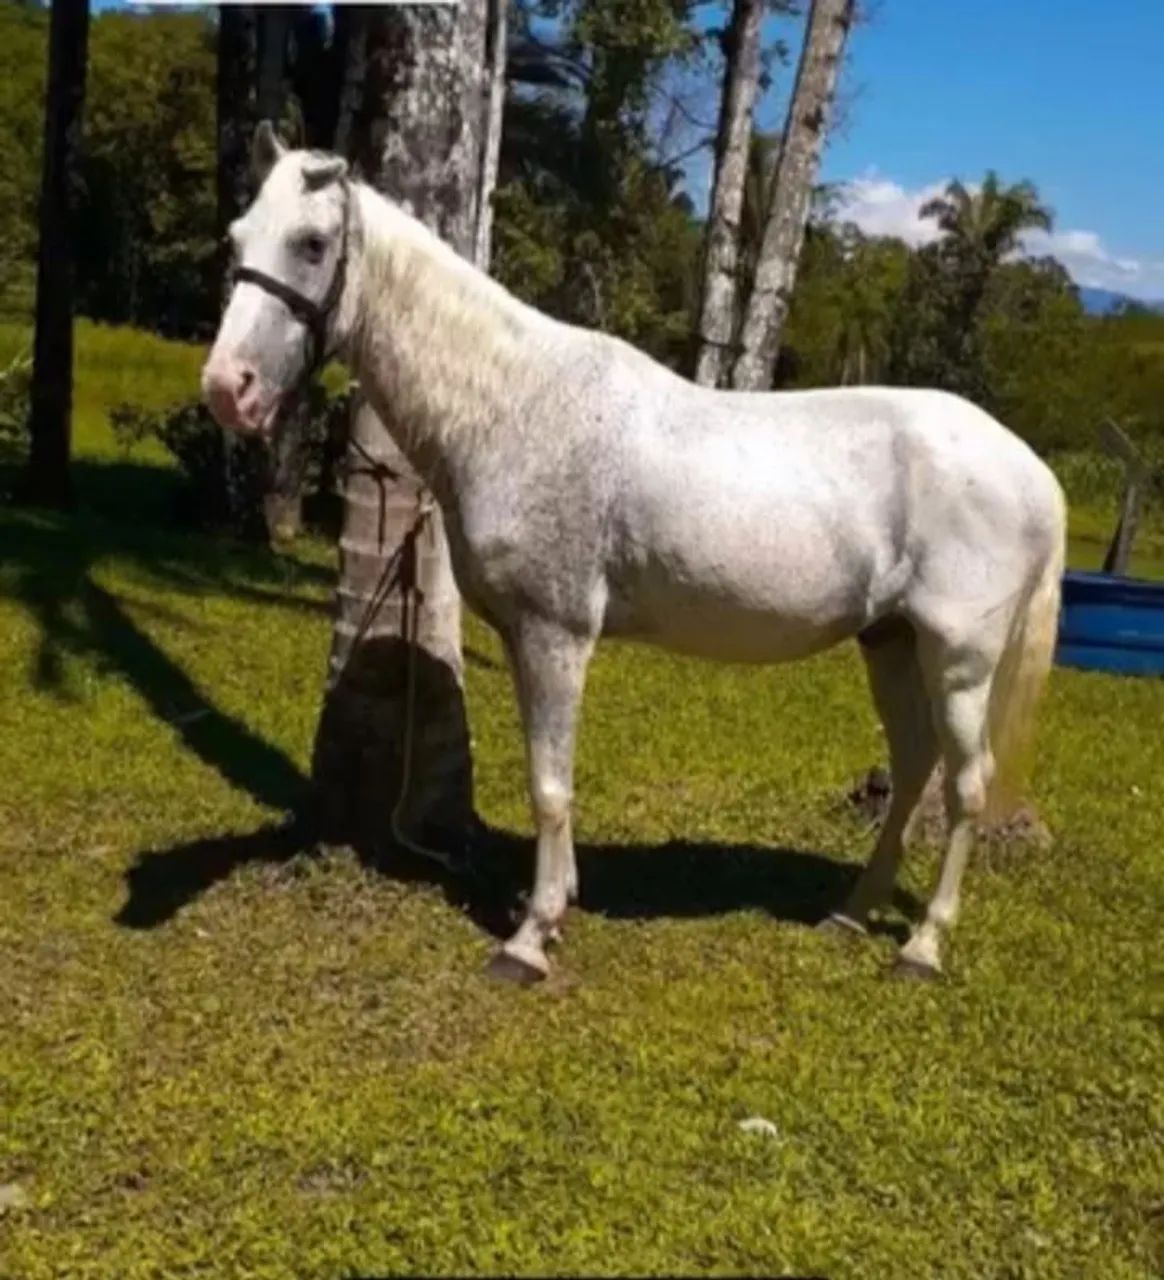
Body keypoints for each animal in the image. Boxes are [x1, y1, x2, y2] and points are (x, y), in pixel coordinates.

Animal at [202, 123, 1067, 985]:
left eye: (312, 243)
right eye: (237, 238)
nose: (225, 389)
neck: (515, 407)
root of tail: (1035, 474)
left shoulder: (556, 633)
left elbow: (551, 785)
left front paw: (529, 939)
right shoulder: (525, 637)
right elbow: (546, 775)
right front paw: (556, 904)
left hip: (959, 658)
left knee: (965, 784)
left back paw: (923, 945)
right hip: (889, 641)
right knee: (915, 766)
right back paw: (851, 914)